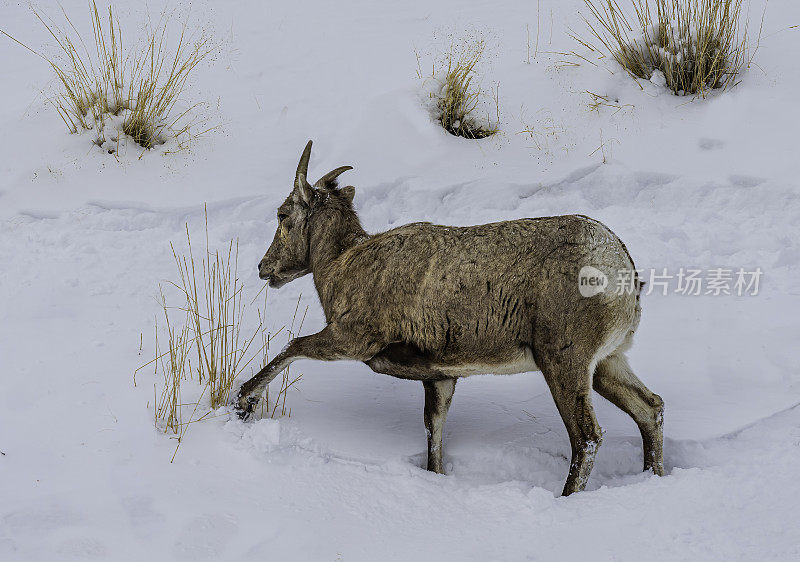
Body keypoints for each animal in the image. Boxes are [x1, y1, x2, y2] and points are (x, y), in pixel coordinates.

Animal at [236, 141, 664, 494]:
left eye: (283, 214)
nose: (264, 268)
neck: (343, 264)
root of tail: (620, 266)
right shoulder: (440, 377)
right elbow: (434, 431)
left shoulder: (352, 339)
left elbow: (293, 346)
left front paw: (243, 403)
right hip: (607, 363)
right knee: (650, 408)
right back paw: (653, 477)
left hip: (564, 362)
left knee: (587, 436)